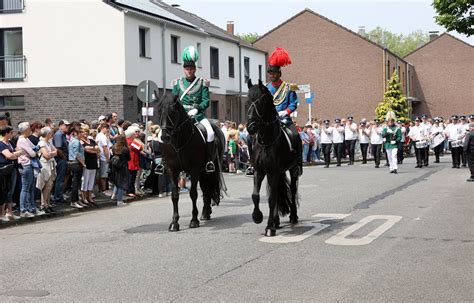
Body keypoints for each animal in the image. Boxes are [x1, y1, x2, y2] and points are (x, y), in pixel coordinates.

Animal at [156, 94, 227, 232]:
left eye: (173, 112)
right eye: (159, 111)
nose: (165, 137)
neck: (179, 143)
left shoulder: (194, 170)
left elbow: (193, 193)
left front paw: (194, 220)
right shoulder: (172, 170)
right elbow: (174, 195)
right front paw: (174, 223)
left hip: (211, 168)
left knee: (207, 189)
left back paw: (205, 213)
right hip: (203, 172)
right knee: (206, 189)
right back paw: (205, 213)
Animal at [246, 79, 302, 236]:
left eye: (261, 101)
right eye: (247, 101)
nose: (250, 127)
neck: (266, 141)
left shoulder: (273, 172)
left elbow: (271, 198)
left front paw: (269, 227)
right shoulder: (259, 171)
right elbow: (256, 195)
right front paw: (257, 217)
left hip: (293, 169)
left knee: (292, 190)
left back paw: (293, 216)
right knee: (277, 192)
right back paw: (277, 221)